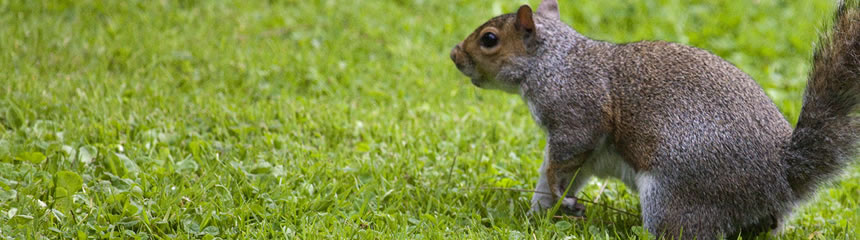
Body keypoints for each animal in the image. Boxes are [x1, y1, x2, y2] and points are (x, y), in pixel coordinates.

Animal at [450, 0, 860, 239]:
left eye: (489, 39)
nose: (455, 55)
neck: (552, 61)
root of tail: (780, 177)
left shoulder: (576, 112)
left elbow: (563, 158)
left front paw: (551, 198)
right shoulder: (584, 152)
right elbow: (565, 174)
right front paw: (539, 214)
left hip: (676, 193)